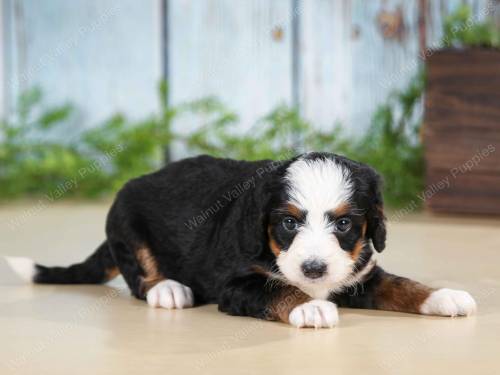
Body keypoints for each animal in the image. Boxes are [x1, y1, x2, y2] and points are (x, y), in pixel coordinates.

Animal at [6, 153, 476, 328]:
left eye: (344, 225)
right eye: (288, 224)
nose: (313, 269)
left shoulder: (359, 273)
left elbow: (400, 284)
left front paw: (443, 296)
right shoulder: (237, 283)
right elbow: (278, 289)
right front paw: (309, 306)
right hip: (125, 220)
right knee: (140, 275)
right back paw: (168, 289)